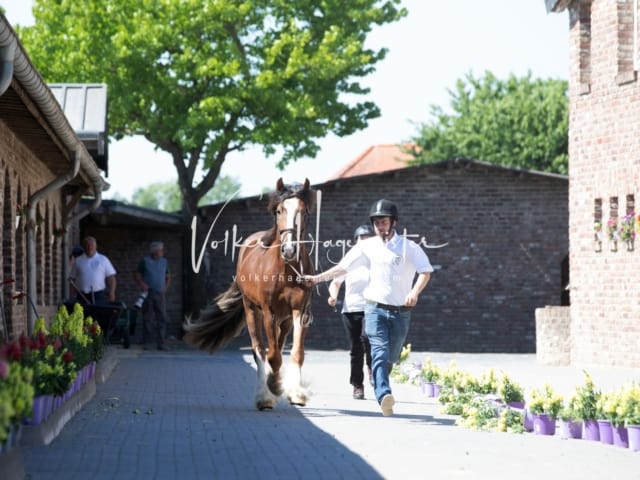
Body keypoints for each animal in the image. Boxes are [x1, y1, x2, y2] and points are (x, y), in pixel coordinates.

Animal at [184, 178, 316, 410]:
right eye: (279, 211)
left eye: (304, 212)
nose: (289, 250)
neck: (286, 270)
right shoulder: (268, 313)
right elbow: (271, 356)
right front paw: (273, 388)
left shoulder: (300, 312)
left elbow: (296, 352)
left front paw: (296, 393)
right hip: (251, 310)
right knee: (260, 350)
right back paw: (264, 396)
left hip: (285, 320)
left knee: (279, 345)